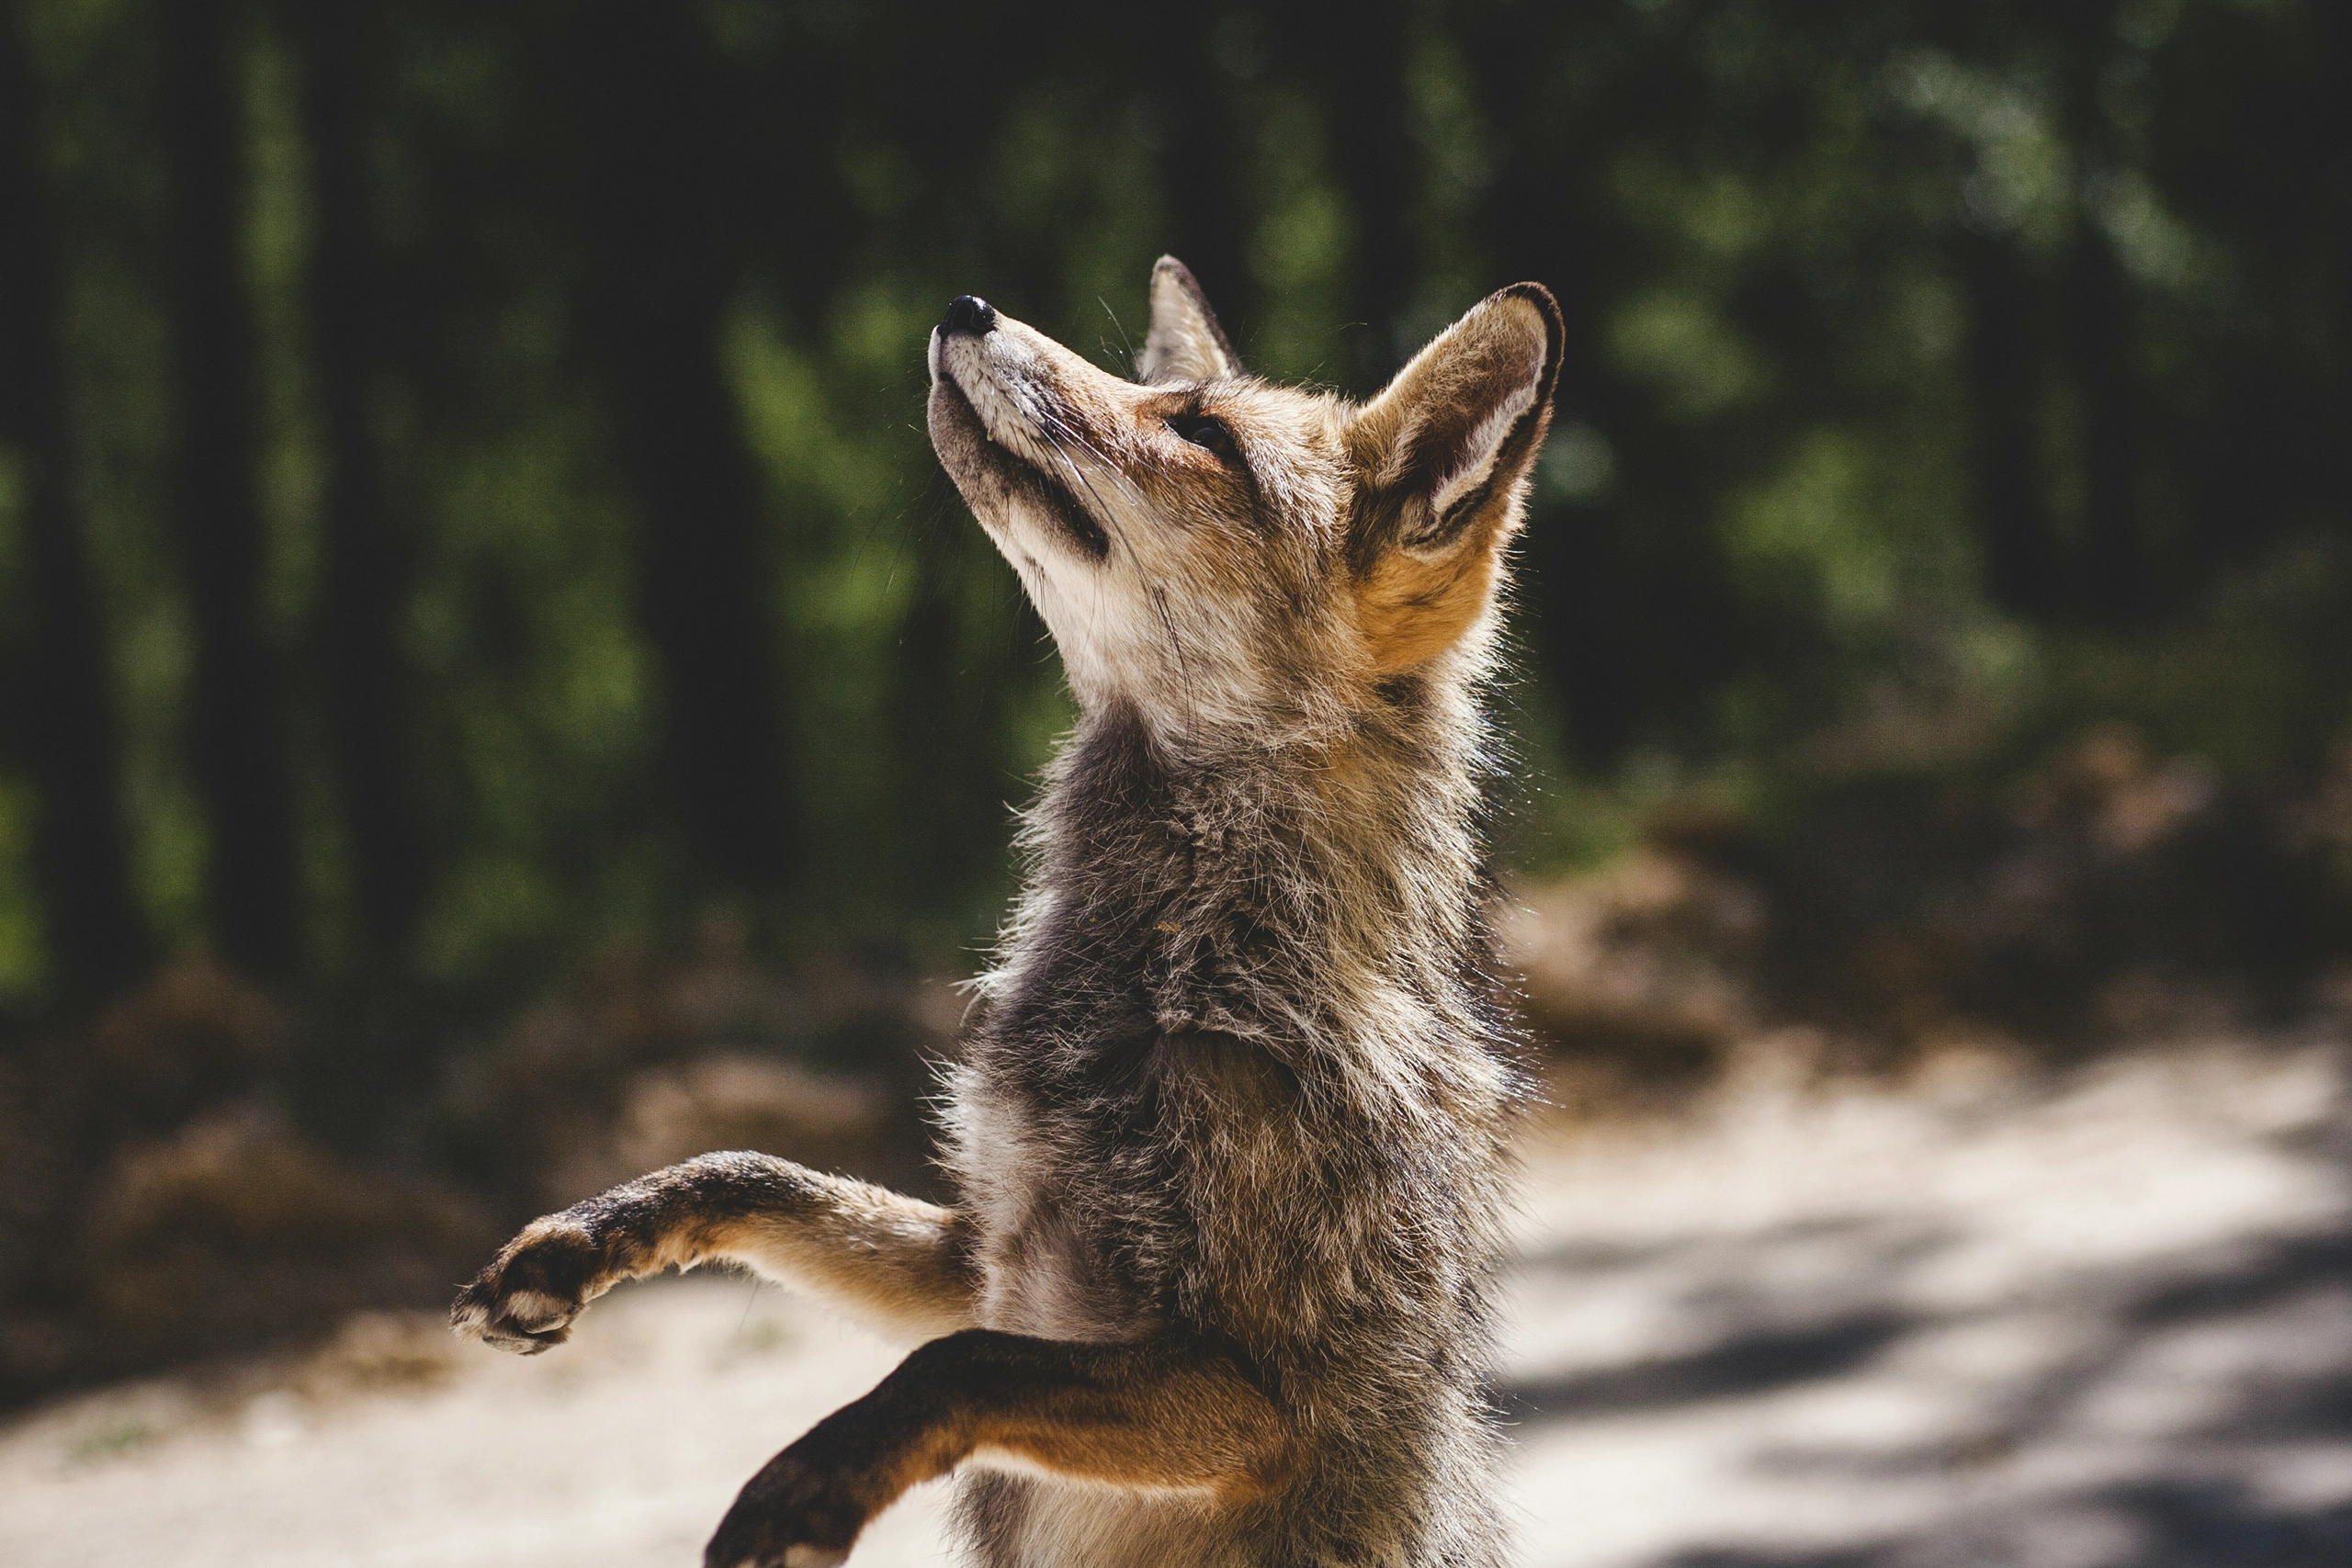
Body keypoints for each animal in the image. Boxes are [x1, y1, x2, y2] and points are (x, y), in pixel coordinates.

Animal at [452, 256, 1562, 1568]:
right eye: (1158, 393)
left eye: (1202, 436)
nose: (965, 308)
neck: (1177, 981)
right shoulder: (985, 1254)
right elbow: (756, 1172)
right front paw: (588, 1237)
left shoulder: (1256, 1394)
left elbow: (955, 1369)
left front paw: (812, 1485)